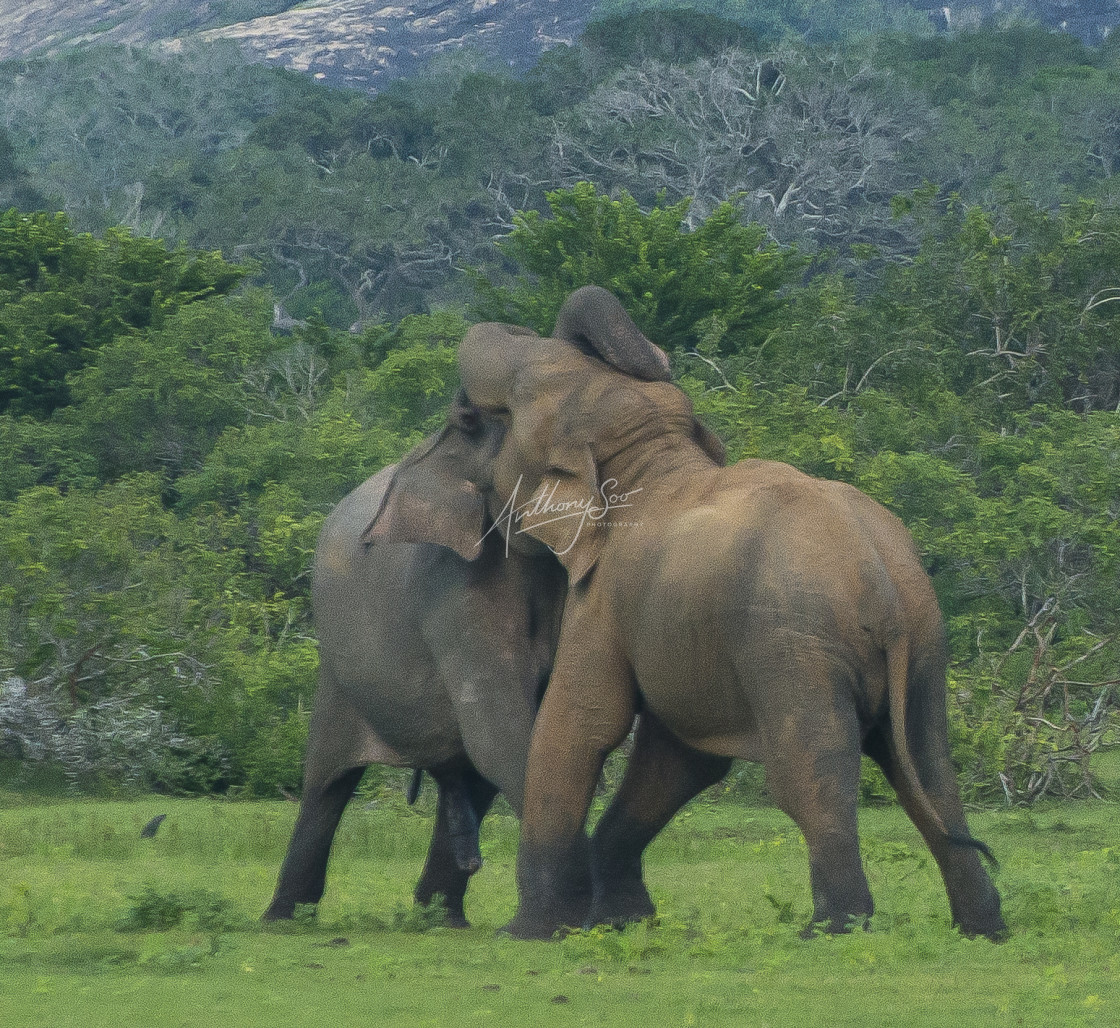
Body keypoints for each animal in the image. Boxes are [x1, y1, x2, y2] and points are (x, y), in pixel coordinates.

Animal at [367, 283, 1008, 940]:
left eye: (518, 399)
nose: (461, 412)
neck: (649, 457)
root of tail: (879, 578)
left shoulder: (606, 594)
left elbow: (582, 723)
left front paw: (532, 933)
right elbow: (681, 759)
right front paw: (624, 920)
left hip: (795, 646)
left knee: (813, 773)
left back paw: (831, 930)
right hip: (926, 646)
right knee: (928, 768)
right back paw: (983, 929)